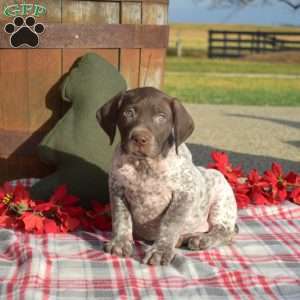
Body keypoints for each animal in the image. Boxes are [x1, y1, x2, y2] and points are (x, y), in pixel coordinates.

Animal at [96, 86, 237, 264]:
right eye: (128, 113)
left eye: (161, 117)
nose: (140, 138)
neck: (144, 165)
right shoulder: (117, 190)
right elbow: (121, 219)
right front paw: (120, 242)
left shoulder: (184, 194)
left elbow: (170, 223)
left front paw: (161, 250)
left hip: (222, 196)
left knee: (226, 231)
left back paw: (202, 238)